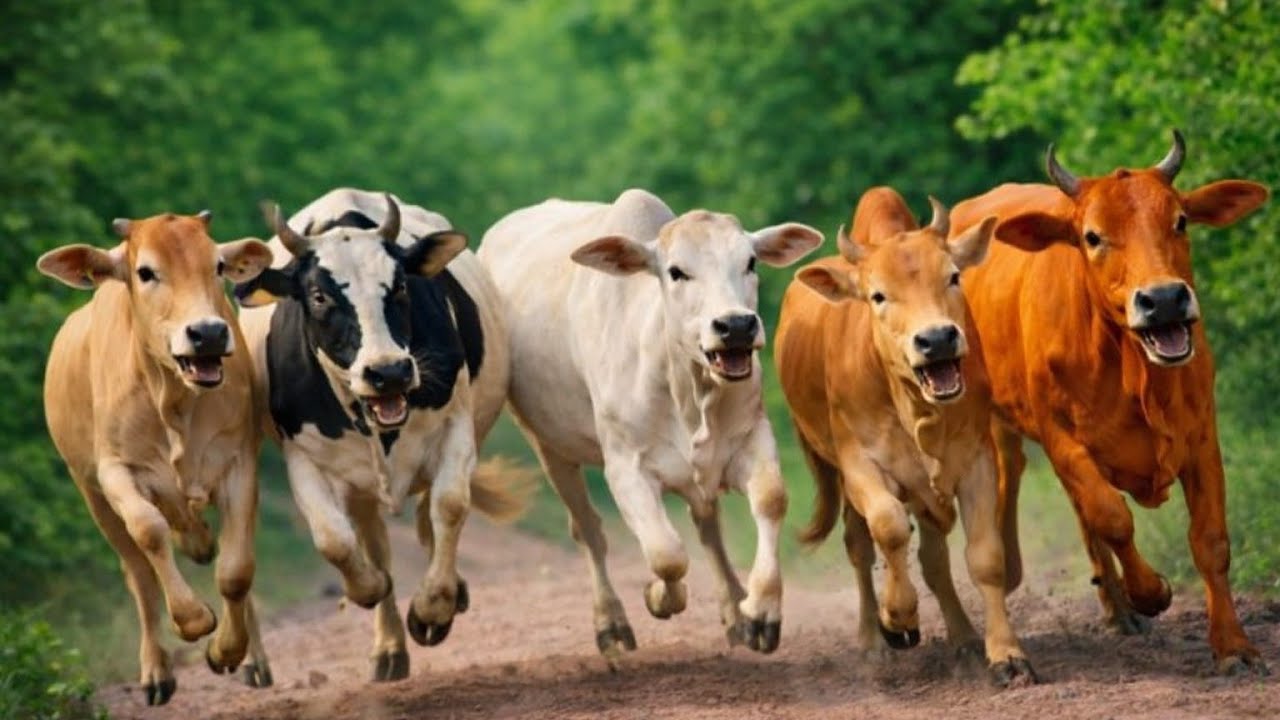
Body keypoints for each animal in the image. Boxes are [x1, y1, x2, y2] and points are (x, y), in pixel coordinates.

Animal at [38, 211, 274, 705]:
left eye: (218, 265)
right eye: (145, 272)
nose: (208, 333)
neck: (173, 402)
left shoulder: (239, 462)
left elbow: (236, 570)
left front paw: (227, 650)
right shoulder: (115, 471)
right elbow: (149, 533)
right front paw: (194, 620)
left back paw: (252, 659)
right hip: (90, 493)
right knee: (139, 573)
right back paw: (157, 671)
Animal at [232, 188, 527, 682]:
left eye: (401, 285)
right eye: (318, 295)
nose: (388, 371)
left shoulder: (456, 425)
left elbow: (449, 505)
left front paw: (432, 609)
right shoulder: (303, 455)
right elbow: (334, 540)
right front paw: (371, 588)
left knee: (426, 517)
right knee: (372, 540)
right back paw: (387, 647)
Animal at [477, 188, 821, 656]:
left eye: (750, 262)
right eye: (676, 271)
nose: (735, 326)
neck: (686, 387)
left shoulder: (751, 437)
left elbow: (770, 501)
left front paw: (759, 613)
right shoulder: (626, 466)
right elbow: (666, 554)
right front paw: (659, 597)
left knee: (707, 525)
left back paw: (734, 609)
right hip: (547, 446)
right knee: (588, 530)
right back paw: (611, 624)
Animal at [773, 187, 1034, 686]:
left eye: (953, 276)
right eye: (877, 295)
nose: (937, 339)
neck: (917, 407)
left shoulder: (974, 461)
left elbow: (985, 558)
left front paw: (1006, 655)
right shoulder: (859, 464)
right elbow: (889, 528)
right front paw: (897, 618)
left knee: (933, 560)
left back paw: (964, 638)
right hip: (839, 473)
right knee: (860, 546)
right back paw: (874, 641)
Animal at [948, 131, 1269, 674]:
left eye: (1180, 221)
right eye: (1093, 237)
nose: (1164, 299)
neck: (1135, 372)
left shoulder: (1202, 437)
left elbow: (1210, 541)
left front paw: (1234, 647)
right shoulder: (1062, 439)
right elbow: (1112, 516)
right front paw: (1153, 592)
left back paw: (1118, 609)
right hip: (997, 425)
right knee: (1024, 482)